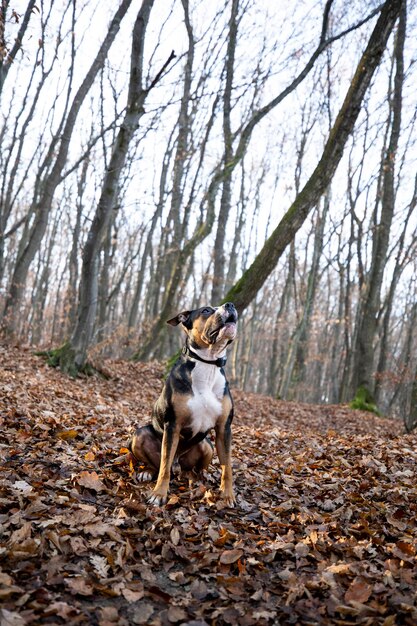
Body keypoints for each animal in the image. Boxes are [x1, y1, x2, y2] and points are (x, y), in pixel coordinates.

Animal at [132, 304, 239, 504]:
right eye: (206, 310)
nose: (230, 304)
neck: (207, 365)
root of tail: (179, 467)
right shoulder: (172, 425)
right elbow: (164, 464)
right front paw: (159, 494)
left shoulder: (224, 429)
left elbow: (227, 466)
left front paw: (228, 495)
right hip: (139, 435)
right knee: (159, 464)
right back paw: (148, 472)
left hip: (207, 445)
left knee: (197, 469)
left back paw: (196, 479)